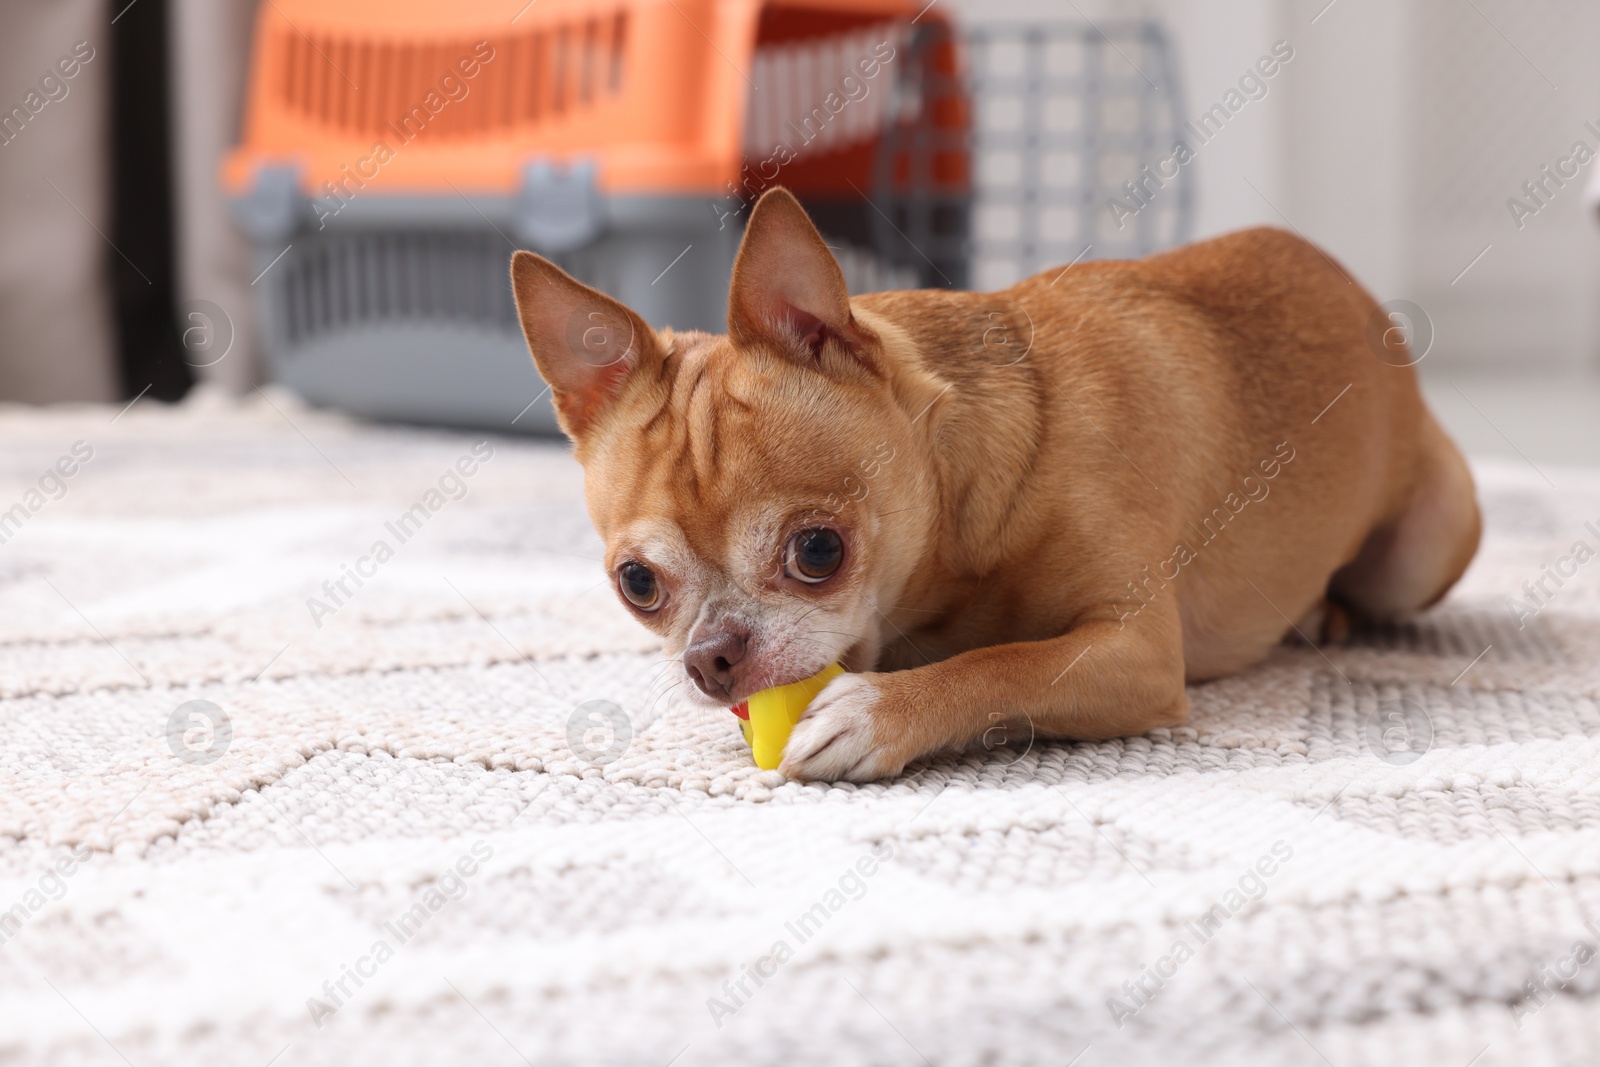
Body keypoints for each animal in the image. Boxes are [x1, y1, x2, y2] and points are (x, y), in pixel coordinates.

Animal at [508, 187, 1472, 780]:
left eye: (818, 551)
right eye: (638, 584)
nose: (711, 656)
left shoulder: (1136, 652)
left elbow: (1005, 664)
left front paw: (878, 712)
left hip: (1428, 545)